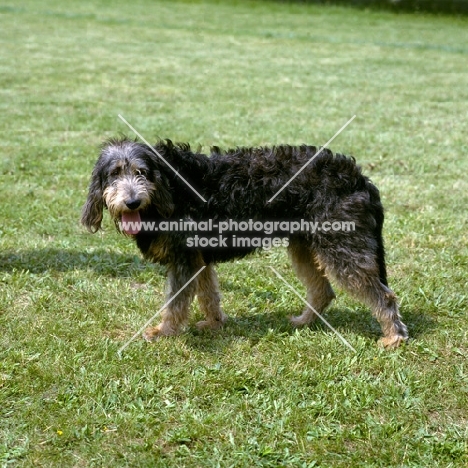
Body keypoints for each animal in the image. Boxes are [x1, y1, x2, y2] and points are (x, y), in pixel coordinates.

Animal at [82, 138, 408, 348]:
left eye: (141, 173)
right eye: (114, 174)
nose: (132, 201)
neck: (168, 187)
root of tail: (360, 177)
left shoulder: (184, 259)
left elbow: (175, 302)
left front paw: (165, 332)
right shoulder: (198, 258)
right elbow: (209, 295)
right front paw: (214, 324)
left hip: (344, 248)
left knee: (383, 296)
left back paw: (393, 336)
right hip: (305, 246)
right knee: (323, 291)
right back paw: (304, 321)